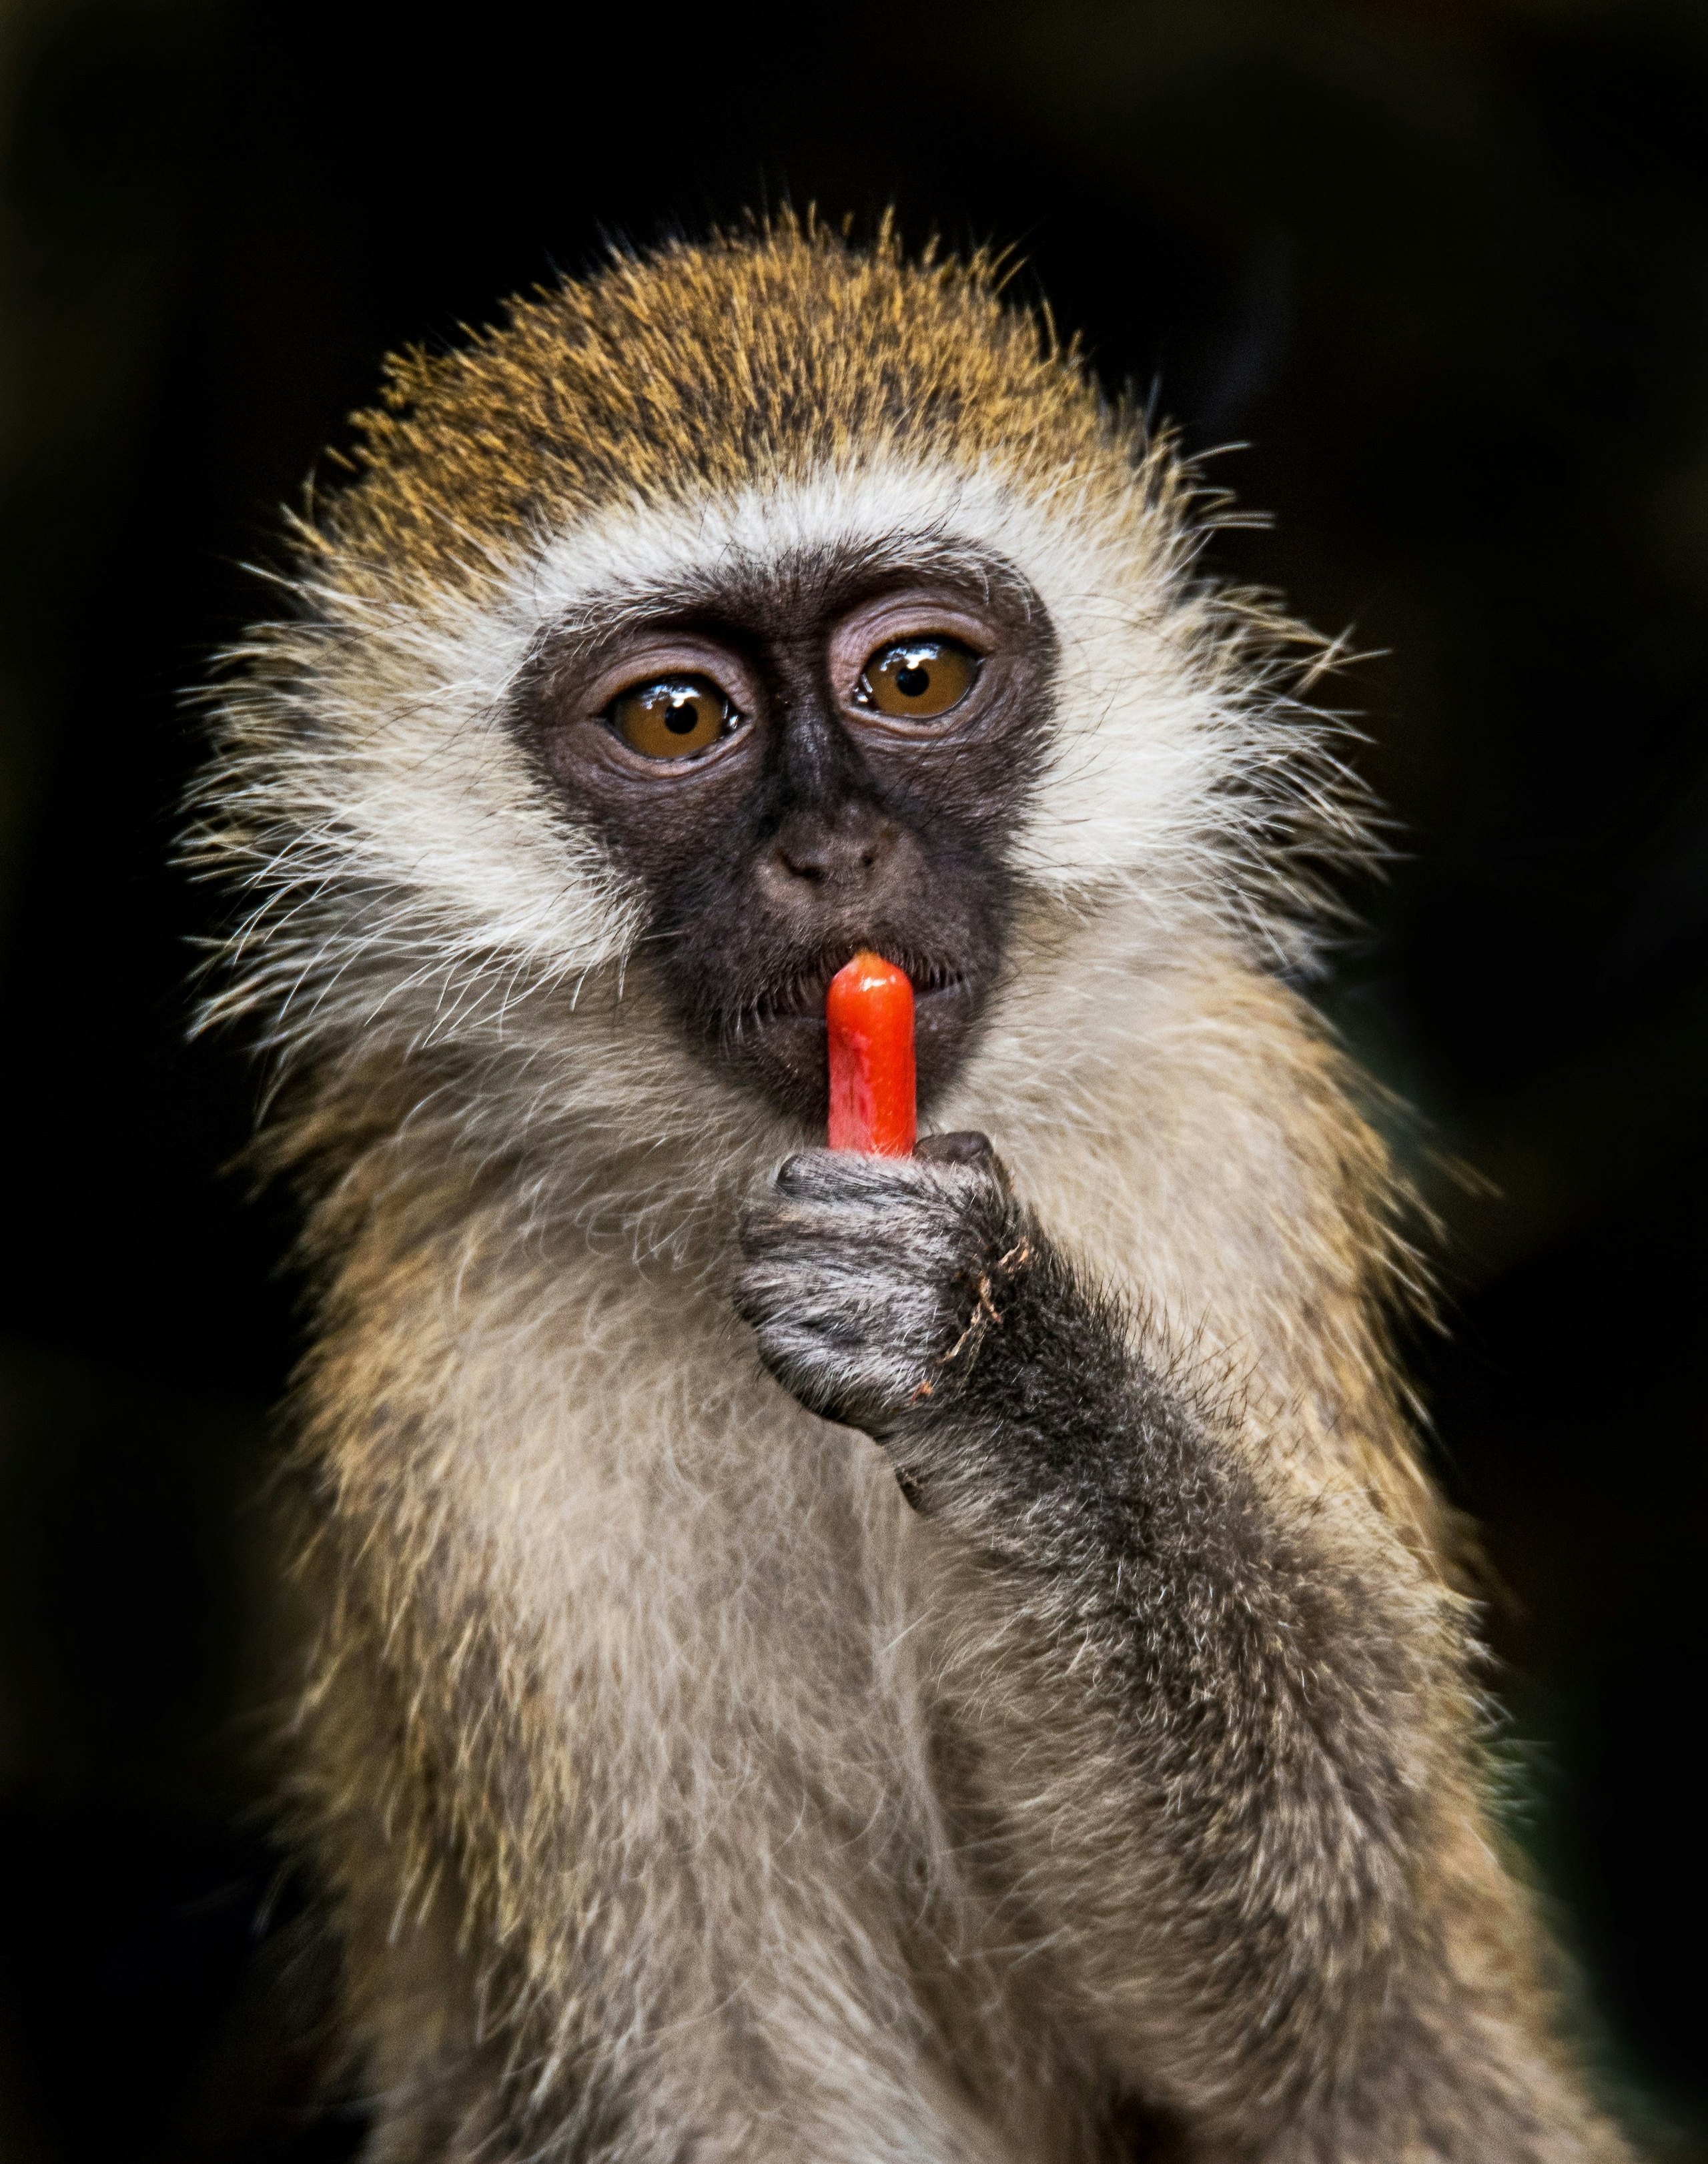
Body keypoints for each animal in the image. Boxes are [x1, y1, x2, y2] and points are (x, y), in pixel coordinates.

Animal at [190, 218, 1633, 2162]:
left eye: (917, 679)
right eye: (676, 716)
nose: (835, 852)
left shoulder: (1216, 1140)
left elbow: (1334, 1963)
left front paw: (997, 1364)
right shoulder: (477, 1417)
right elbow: (727, 2081)